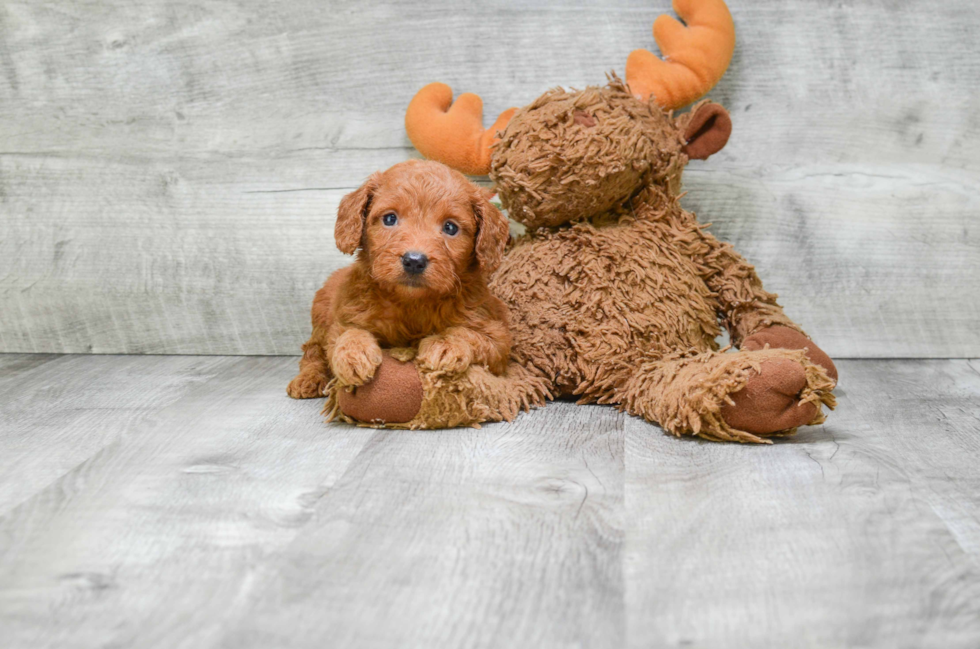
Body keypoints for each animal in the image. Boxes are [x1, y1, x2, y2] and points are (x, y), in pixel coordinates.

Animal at [286, 159, 510, 398]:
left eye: (450, 227)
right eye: (390, 218)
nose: (414, 260)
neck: (411, 302)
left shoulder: (496, 337)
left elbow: (466, 333)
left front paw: (445, 344)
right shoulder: (344, 318)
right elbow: (347, 333)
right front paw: (353, 354)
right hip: (320, 316)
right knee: (312, 351)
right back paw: (308, 378)